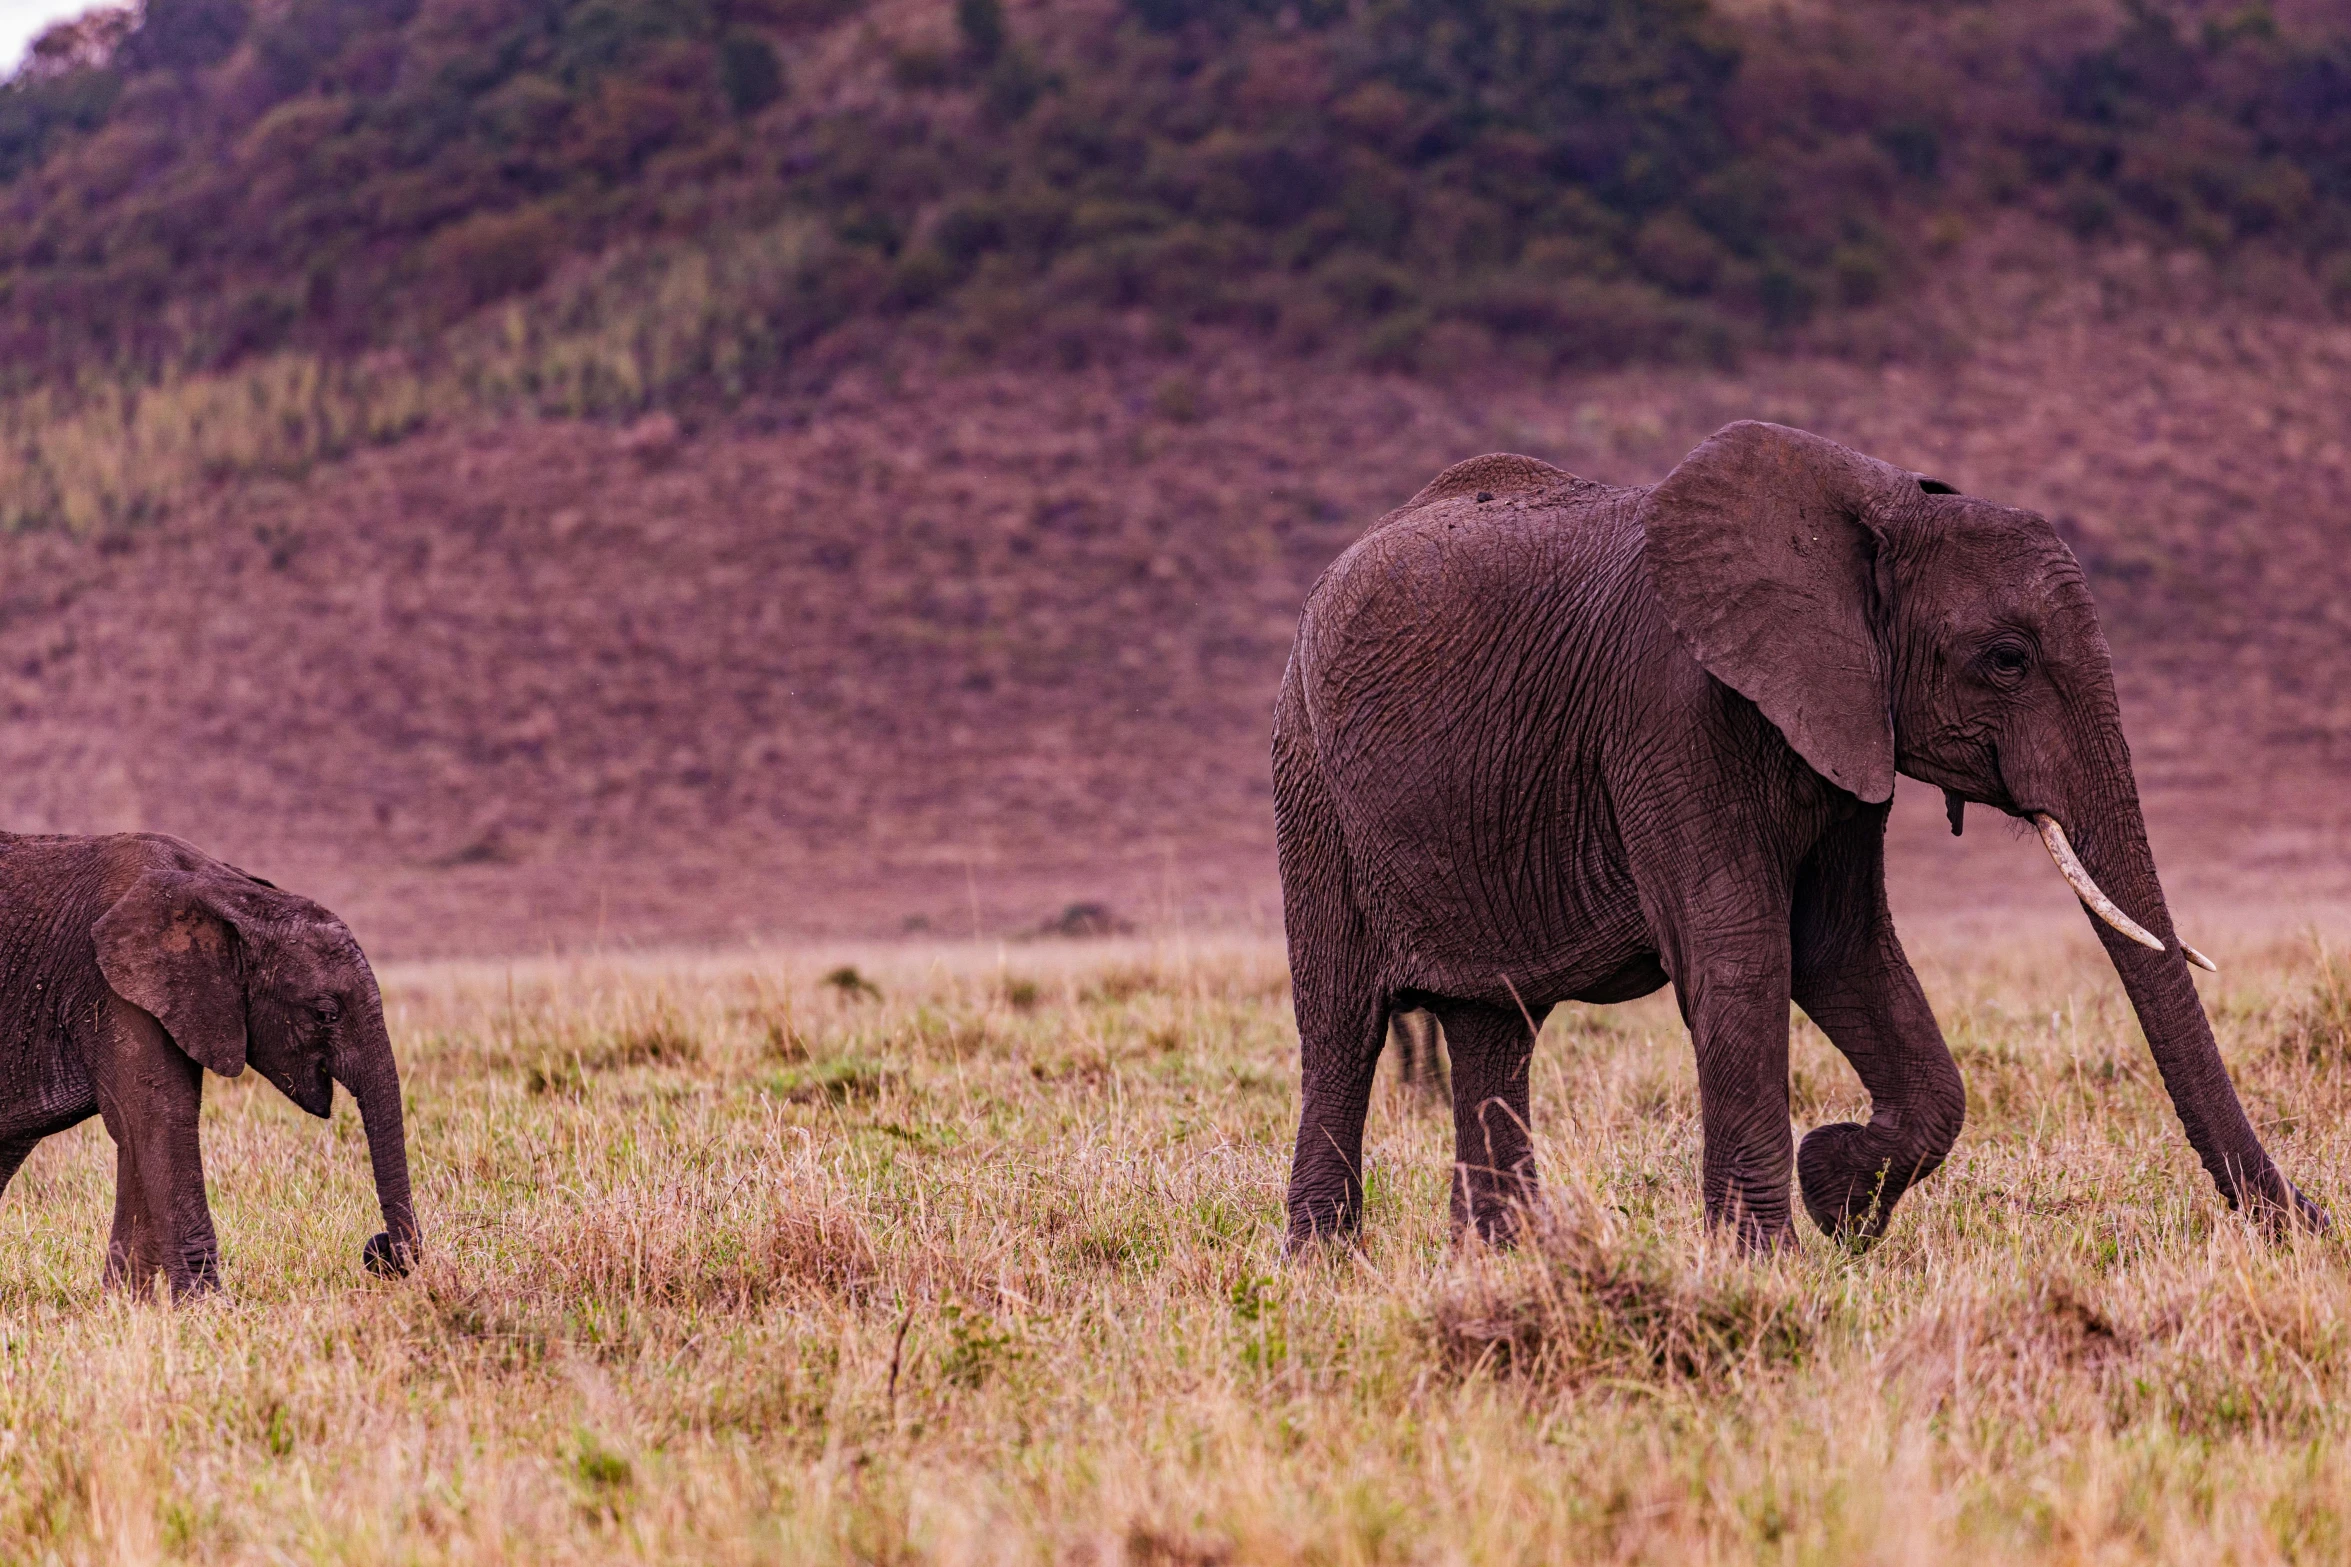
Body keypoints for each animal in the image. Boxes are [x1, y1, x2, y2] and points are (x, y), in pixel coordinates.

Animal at [1288, 420, 2332, 1249]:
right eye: (2006, 659)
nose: (2316, 1222)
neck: (1877, 510)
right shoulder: (1670, 714)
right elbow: (1741, 957)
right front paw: (1766, 1258)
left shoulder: (1846, 725)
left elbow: (1842, 949)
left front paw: (1840, 1198)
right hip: (1307, 782)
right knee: (1340, 1024)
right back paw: (1328, 1266)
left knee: (1495, 1026)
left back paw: (1500, 1258)